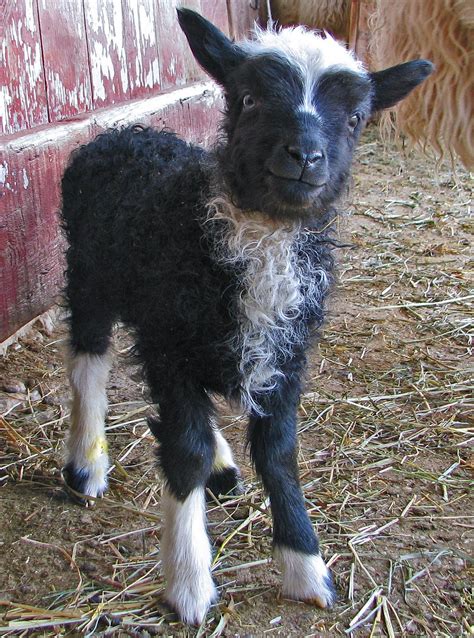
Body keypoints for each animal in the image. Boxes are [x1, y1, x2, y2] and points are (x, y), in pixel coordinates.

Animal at [61, 7, 436, 628]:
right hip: (89, 275)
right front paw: (189, 581)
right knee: (88, 362)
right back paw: (87, 464)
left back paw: (219, 464)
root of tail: (124, 132)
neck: (261, 236)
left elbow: (279, 452)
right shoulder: (170, 343)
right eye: (250, 99)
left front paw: (305, 566)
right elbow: (183, 450)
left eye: (356, 118)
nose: (304, 156)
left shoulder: (287, 352)